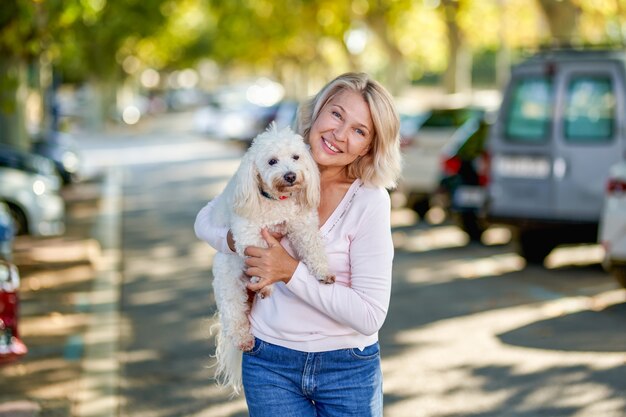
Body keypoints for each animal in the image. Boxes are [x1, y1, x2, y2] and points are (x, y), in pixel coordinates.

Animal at [210, 122, 334, 390]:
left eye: (296, 157)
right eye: (272, 161)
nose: (290, 176)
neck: (277, 201)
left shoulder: (302, 224)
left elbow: (312, 246)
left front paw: (323, 272)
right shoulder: (246, 232)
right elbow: (256, 251)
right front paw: (264, 285)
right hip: (228, 284)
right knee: (234, 314)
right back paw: (244, 338)